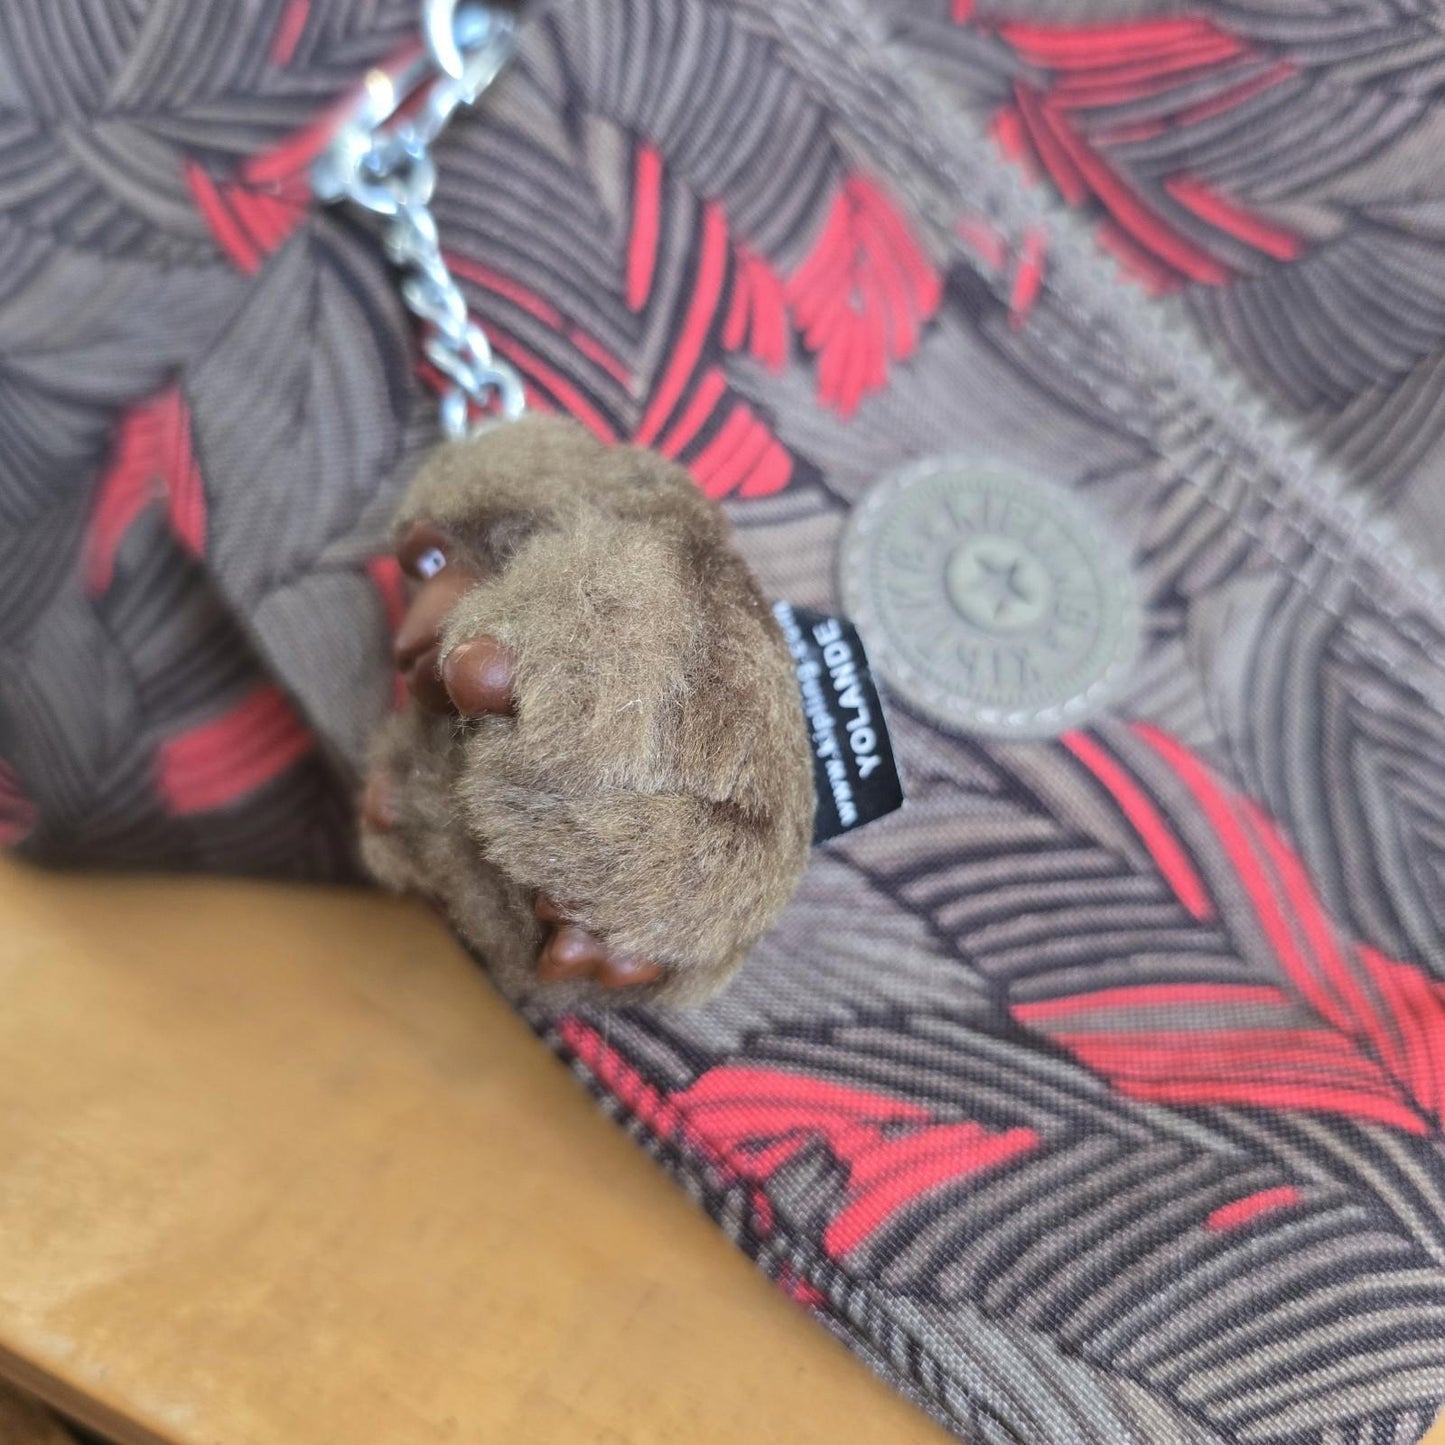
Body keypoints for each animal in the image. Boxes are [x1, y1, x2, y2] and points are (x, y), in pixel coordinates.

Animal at [359, 415, 816, 1007]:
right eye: (418, 573)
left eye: (438, 562)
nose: (403, 645)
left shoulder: (627, 559)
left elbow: (582, 707)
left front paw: (483, 671)